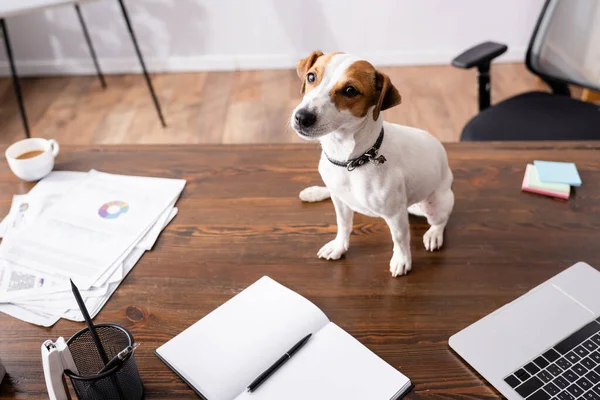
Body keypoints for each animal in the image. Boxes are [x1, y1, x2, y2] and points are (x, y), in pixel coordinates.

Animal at [290, 51, 454, 276]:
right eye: (311, 76)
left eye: (350, 90)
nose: (302, 117)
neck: (350, 161)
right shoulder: (340, 202)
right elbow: (343, 225)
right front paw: (339, 246)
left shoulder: (395, 214)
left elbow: (400, 239)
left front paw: (402, 260)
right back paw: (315, 191)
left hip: (434, 204)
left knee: (440, 221)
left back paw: (434, 234)